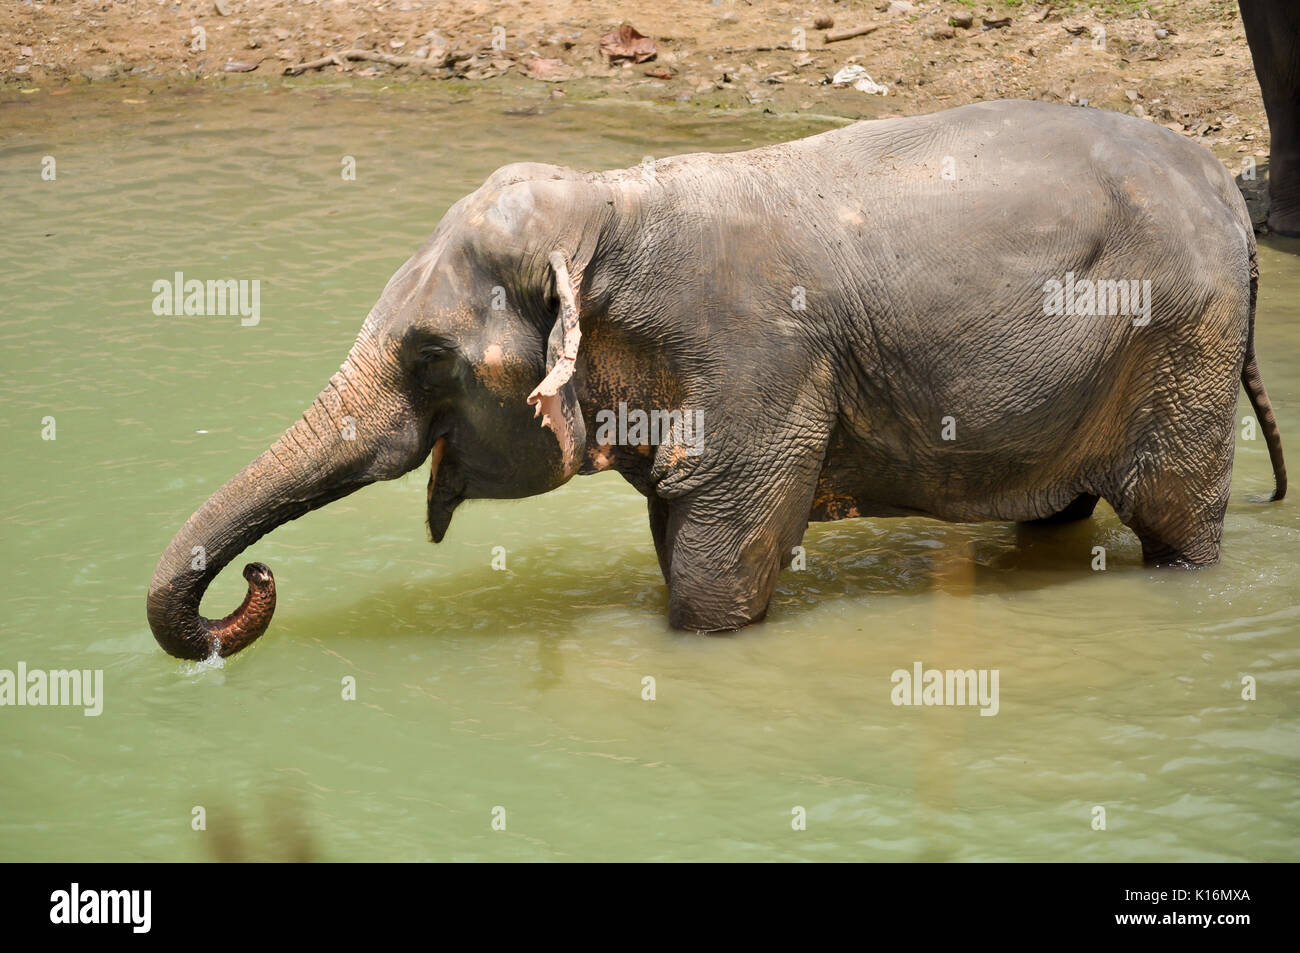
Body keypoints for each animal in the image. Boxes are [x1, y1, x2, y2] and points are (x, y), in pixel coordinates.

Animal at [146, 98, 1287, 660]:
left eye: (427, 356)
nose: (255, 582)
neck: (608, 210)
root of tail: (1227, 193)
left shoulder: (756, 363)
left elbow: (719, 561)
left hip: (1184, 341)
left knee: (1178, 523)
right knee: (1052, 514)